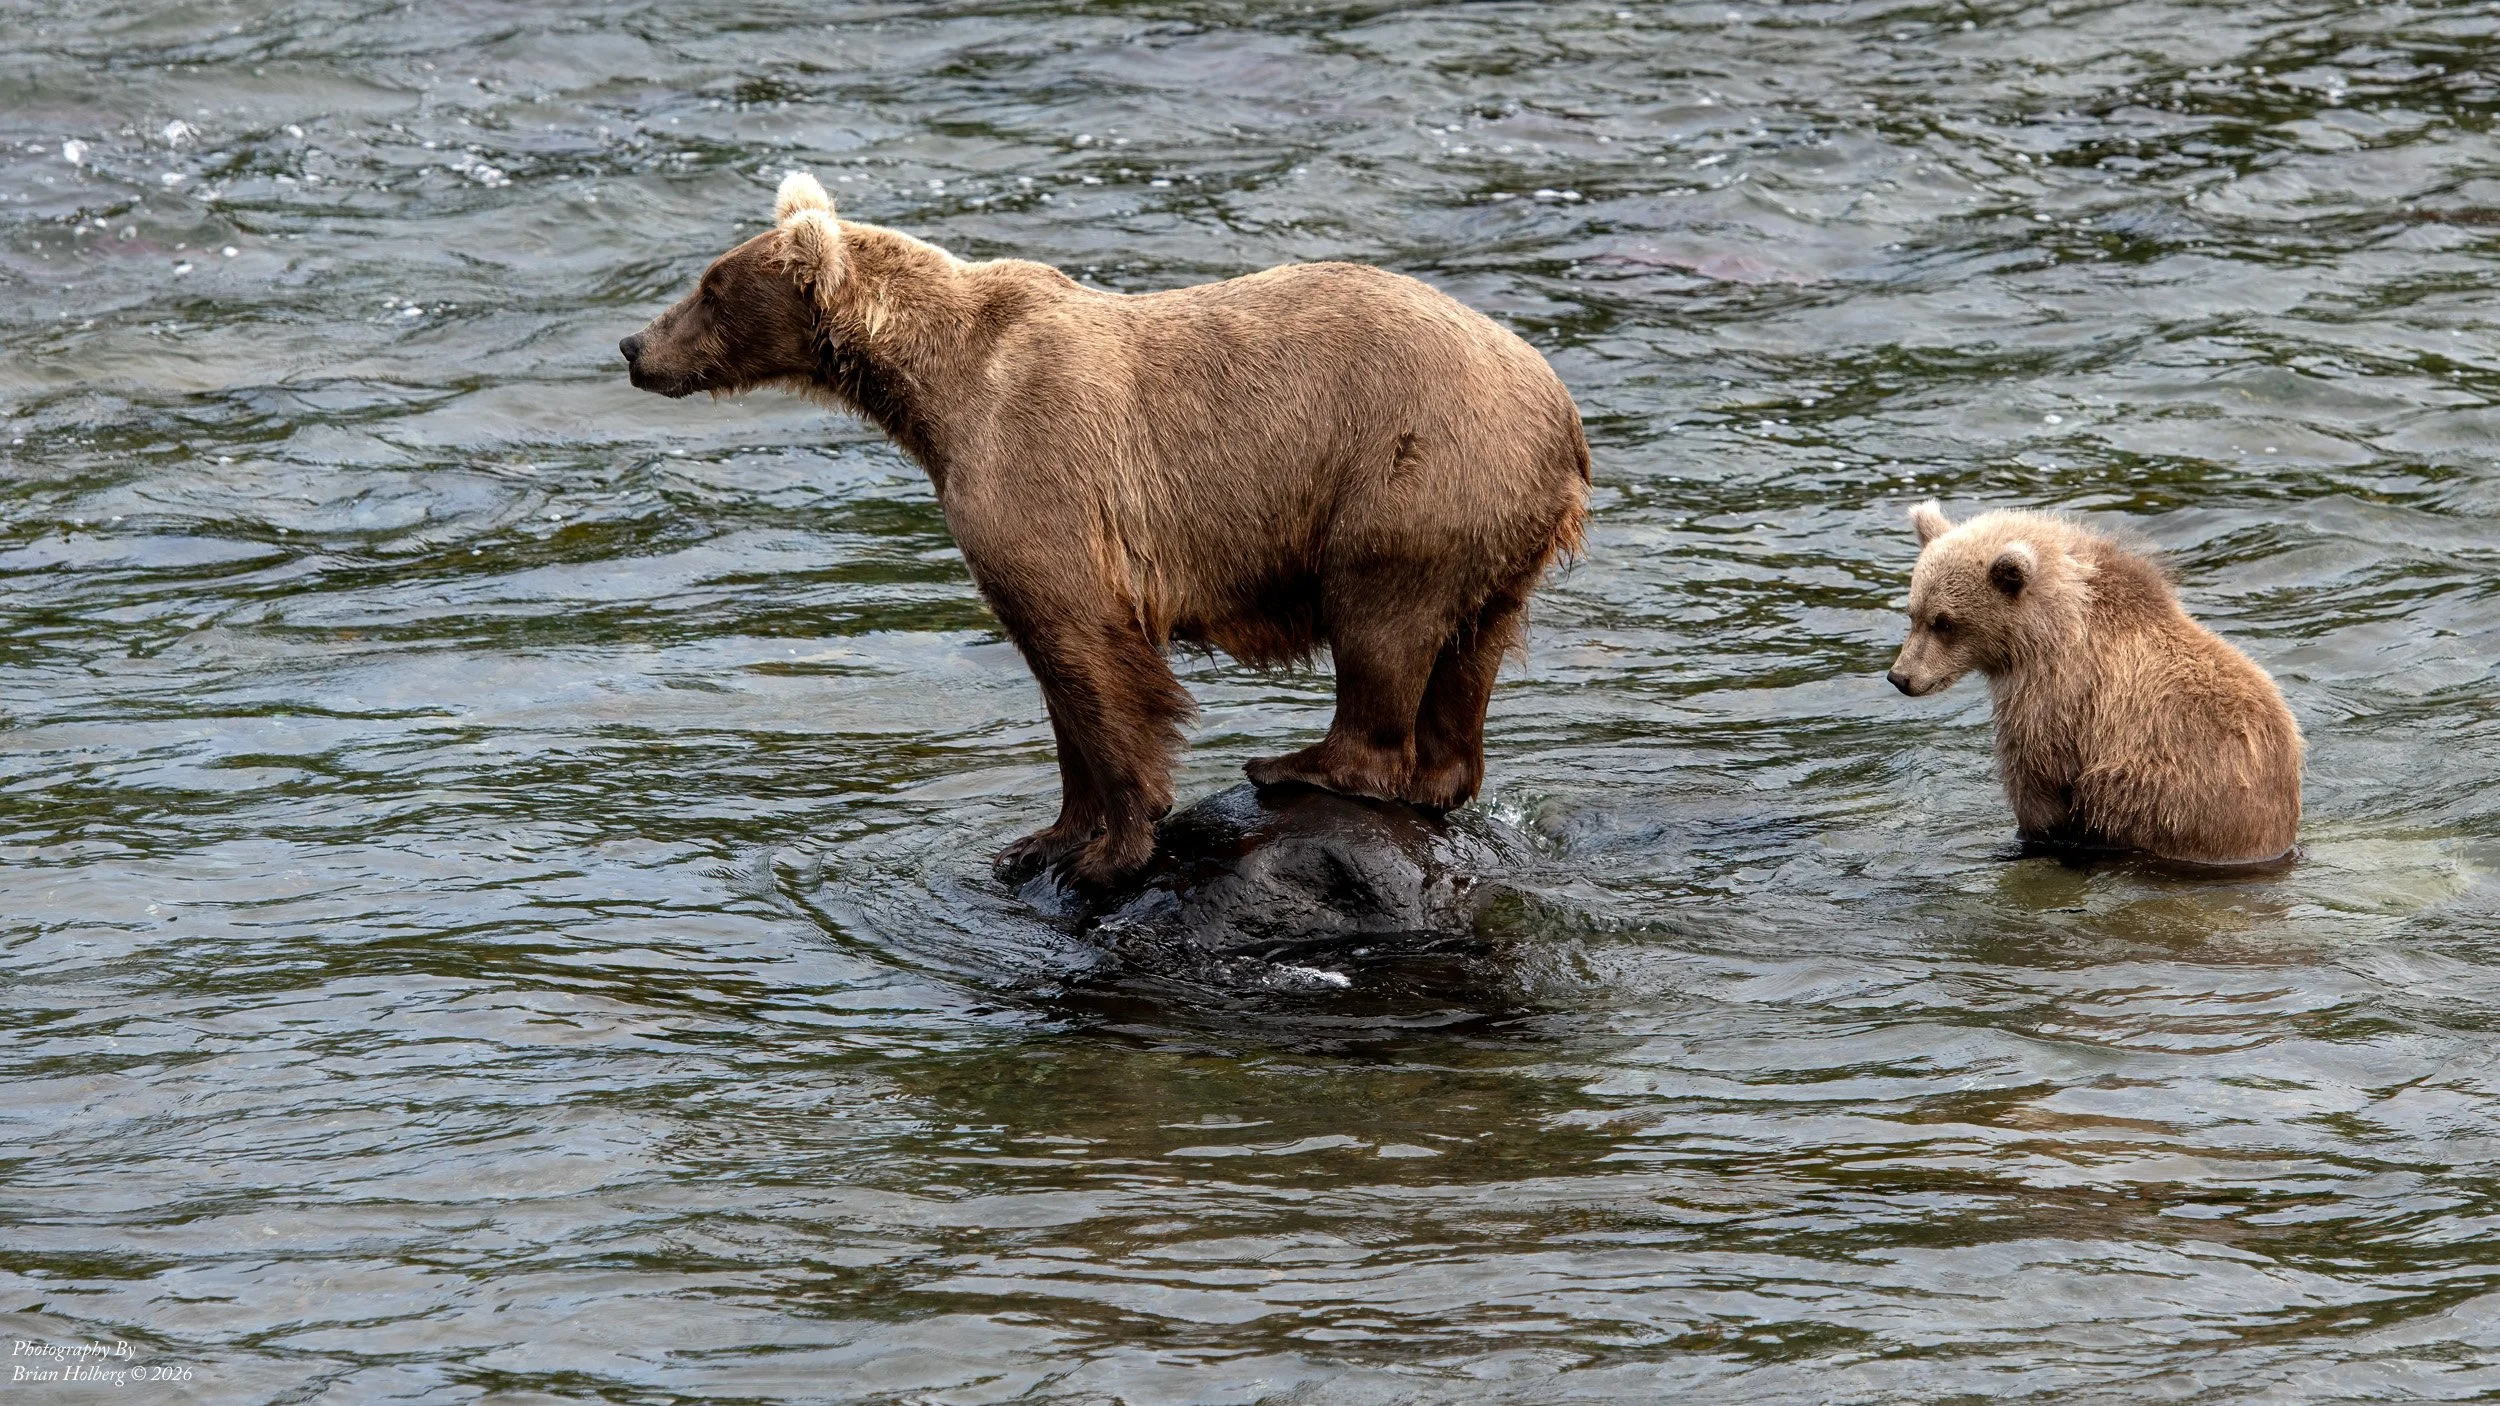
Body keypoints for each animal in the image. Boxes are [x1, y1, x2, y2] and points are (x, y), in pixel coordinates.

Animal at [620, 172, 1589, 889]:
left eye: (709, 289)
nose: (633, 346)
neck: (933, 390)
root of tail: (1562, 409)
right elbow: (1054, 675)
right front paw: (1040, 838)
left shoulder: (1037, 461)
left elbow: (1088, 650)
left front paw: (1112, 845)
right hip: (1494, 521)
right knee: (1471, 645)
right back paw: (1437, 776)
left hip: (1408, 474)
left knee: (1380, 624)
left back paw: (1298, 763)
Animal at [1886, 500, 2303, 866]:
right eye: (1913, 614)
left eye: (1944, 622)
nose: (1900, 677)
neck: (2048, 631)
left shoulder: (2055, 696)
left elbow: (2037, 780)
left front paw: (2027, 838)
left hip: (2164, 793)